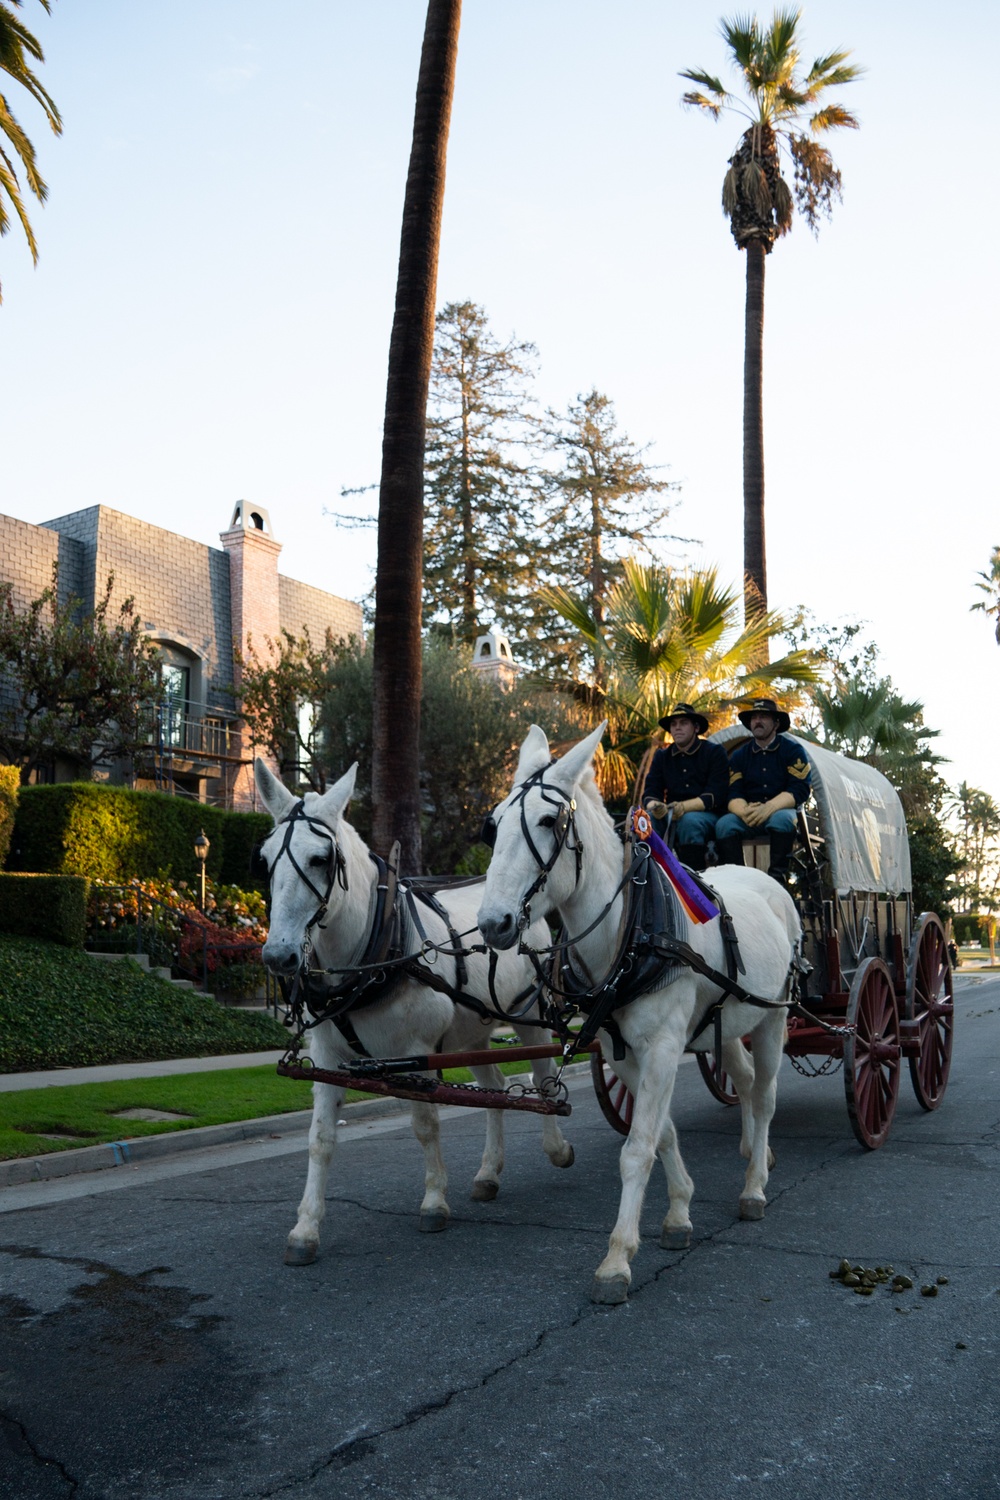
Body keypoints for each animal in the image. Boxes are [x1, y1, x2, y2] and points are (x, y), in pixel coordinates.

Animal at [254, 756, 575, 1260]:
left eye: (320, 859)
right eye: (265, 861)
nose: (279, 956)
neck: (372, 953)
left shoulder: (417, 1050)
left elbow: (425, 1123)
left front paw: (433, 1202)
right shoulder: (326, 1057)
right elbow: (320, 1138)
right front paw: (306, 1228)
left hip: (529, 1018)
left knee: (542, 1083)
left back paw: (557, 1148)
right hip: (472, 1031)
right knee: (495, 1086)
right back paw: (488, 1173)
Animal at [473, 723, 803, 1302]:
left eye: (548, 821)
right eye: (493, 826)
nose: (493, 923)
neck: (630, 931)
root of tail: (767, 879)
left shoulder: (665, 1047)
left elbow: (637, 1148)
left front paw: (617, 1259)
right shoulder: (620, 1052)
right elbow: (659, 1134)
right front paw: (679, 1212)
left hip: (773, 1018)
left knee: (764, 1097)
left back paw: (755, 1187)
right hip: (729, 1021)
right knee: (741, 1079)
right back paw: (753, 1153)